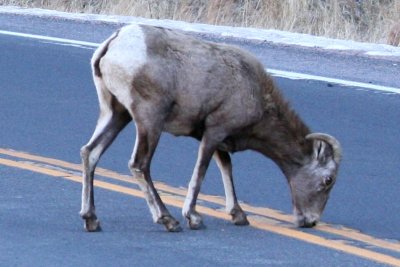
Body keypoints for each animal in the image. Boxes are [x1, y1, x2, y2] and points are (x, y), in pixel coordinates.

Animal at [79, 24, 342, 233]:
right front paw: (194, 218)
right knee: (139, 164)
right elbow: (201, 171)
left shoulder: (217, 138)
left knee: (90, 152)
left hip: (116, 114)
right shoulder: (214, 132)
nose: (311, 221)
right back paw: (168, 220)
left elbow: (226, 168)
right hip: (149, 121)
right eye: (328, 179)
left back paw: (91, 220)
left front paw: (239, 215)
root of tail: (115, 43)